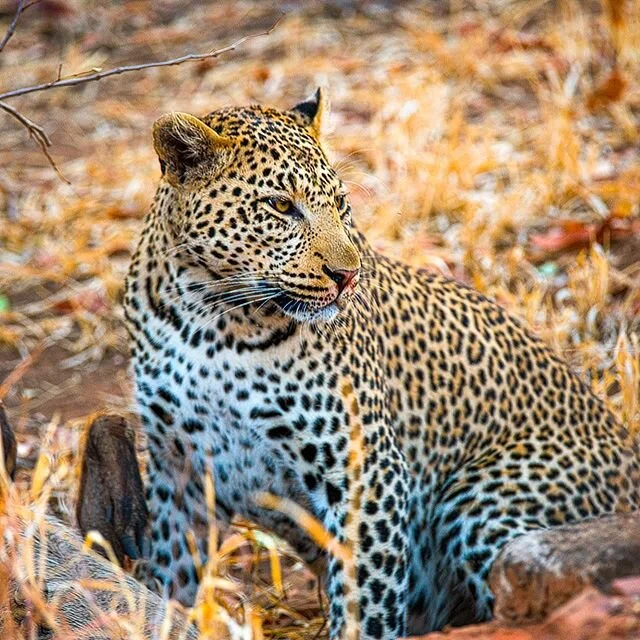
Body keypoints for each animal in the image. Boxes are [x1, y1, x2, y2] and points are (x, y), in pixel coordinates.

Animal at [119, 88, 640, 640]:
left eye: (339, 203)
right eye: (281, 206)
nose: (346, 275)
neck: (211, 317)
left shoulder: (365, 467)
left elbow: (364, 597)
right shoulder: (181, 469)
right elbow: (168, 575)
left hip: (482, 498)